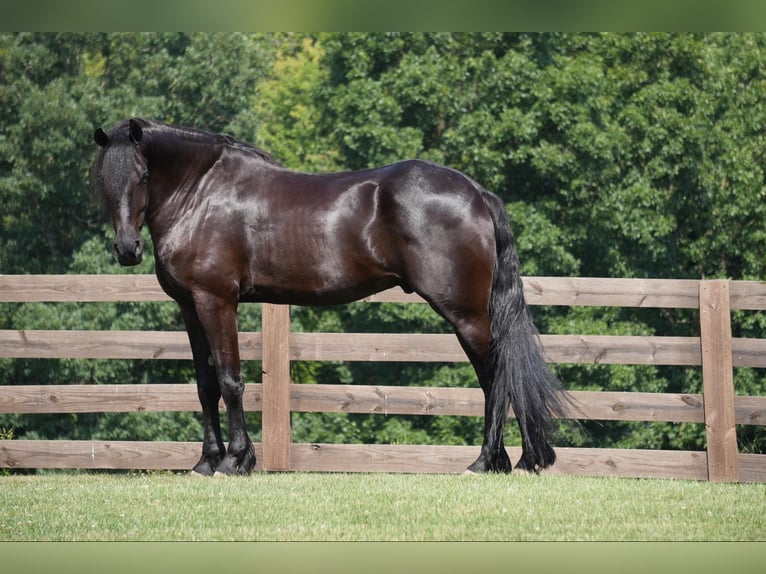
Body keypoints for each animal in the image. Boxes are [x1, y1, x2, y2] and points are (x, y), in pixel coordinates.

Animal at [91, 117, 571, 476]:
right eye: (102, 178)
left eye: (143, 175)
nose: (127, 249)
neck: (202, 194)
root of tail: (477, 193)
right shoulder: (190, 306)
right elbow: (206, 384)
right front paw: (206, 463)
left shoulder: (216, 301)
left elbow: (230, 380)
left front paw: (235, 461)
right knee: (496, 377)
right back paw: (507, 461)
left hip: (467, 314)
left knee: (496, 377)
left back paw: (490, 461)